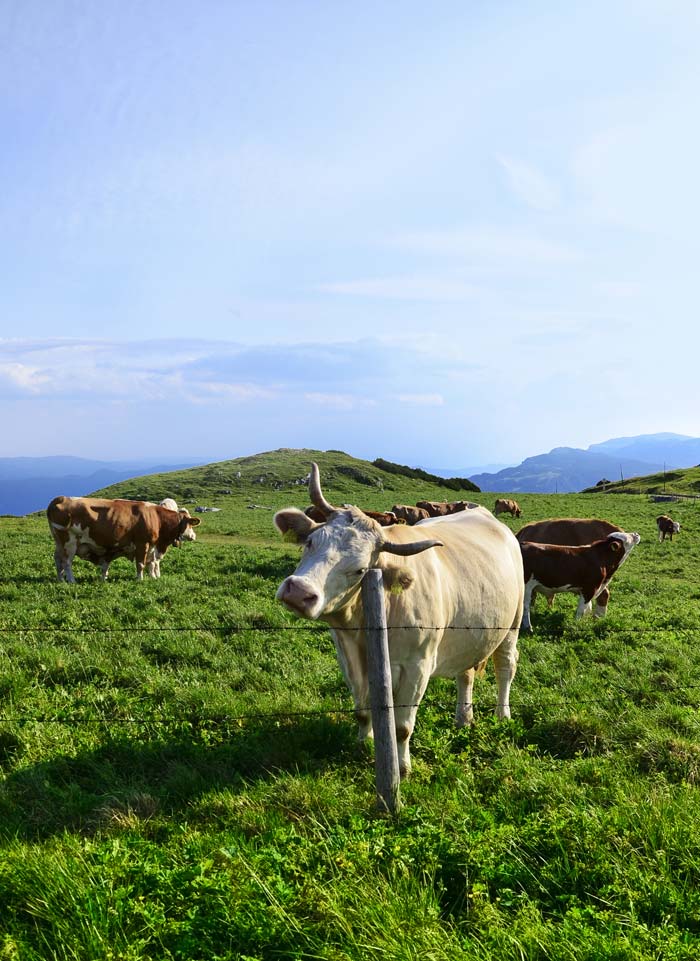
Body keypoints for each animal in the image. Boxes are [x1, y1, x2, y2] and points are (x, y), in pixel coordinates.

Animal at [46, 498, 201, 580]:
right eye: (190, 525)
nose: (194, 536)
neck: (156, 518)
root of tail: (61, 498)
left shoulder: (152, 546)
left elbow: (151, 563)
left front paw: (152, 577)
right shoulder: (142, 543)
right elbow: (141, 564)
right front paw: (140, 579)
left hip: (59, 542)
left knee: (58, 559)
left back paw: (61, 579)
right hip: (69, 542)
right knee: (67, 562)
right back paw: (72, 581)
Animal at [274, 462, 524, 776]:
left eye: (360, 570)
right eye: (310, 542)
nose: (299, 592)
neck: (365, 626)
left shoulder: (417, 666)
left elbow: (403, 727)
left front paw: (402, 768)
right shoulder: (349, 656)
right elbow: (362, 711)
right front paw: (363, 745)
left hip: (512, 625)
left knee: (506, 667)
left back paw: (503, 715)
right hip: (470, 632)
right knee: (465, 673)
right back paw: (463, 719)